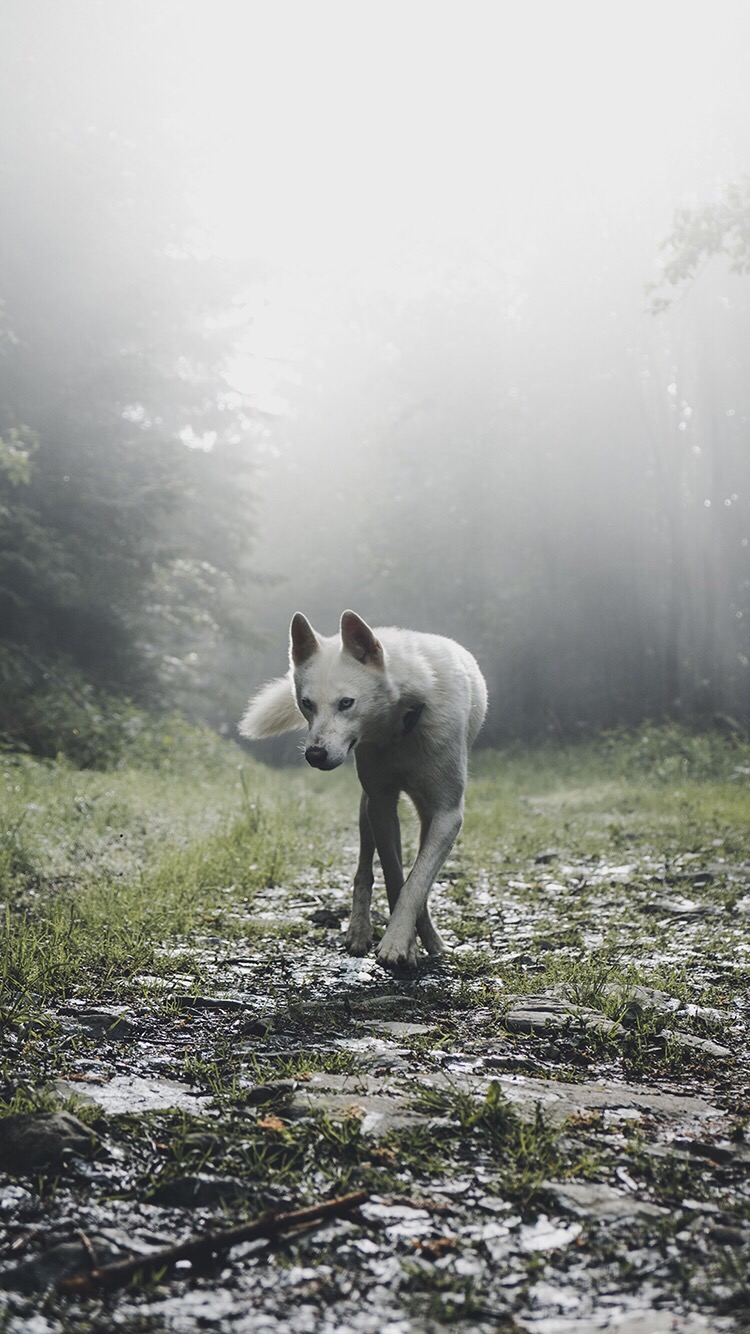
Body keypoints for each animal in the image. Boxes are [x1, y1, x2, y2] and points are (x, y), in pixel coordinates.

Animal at [236, 610, 488, 971]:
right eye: (307, 704)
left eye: (346, 703)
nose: (314, 755)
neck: (401, 726)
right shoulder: (381, 806)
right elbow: (395, 878)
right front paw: (405, 944)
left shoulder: (447, 814)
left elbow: (416, 882)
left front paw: (400, 941)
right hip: (366, 809)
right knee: (364, 870)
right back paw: (359, 931)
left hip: (424, 815)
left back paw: (433, 940)